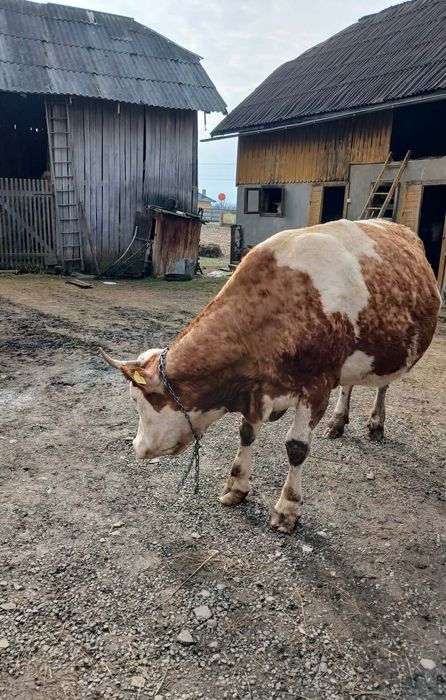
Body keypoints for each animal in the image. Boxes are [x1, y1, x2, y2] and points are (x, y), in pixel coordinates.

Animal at [99, 219, 441, 533]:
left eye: (138, 401)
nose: (137, 447)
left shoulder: (316, 386)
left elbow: (296, 447)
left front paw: (287, 507)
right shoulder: (258, 390)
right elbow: (246, 434)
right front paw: (236, 486)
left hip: (395, 349)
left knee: (383, 385)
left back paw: (375, 424)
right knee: (349, 386)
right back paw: (338, 422)